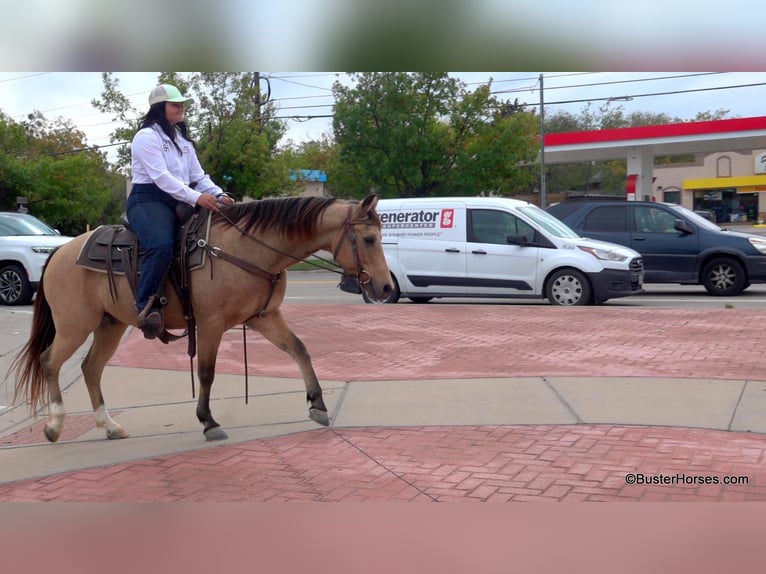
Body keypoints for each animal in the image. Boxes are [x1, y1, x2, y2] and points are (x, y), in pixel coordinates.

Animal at [11, 196, 392, 444]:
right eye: (369, 238)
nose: (387, 287)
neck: (247, 250)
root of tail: (61, 251)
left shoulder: (264, 317)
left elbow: (299, 349)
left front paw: (318, 405)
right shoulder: (211, 323)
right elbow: (206, 372)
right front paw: (208, 422)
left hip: (110, 325)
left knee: (90, 368)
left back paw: (109, 426)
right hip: (74, 325)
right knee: (50, 361)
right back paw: (55, 425)